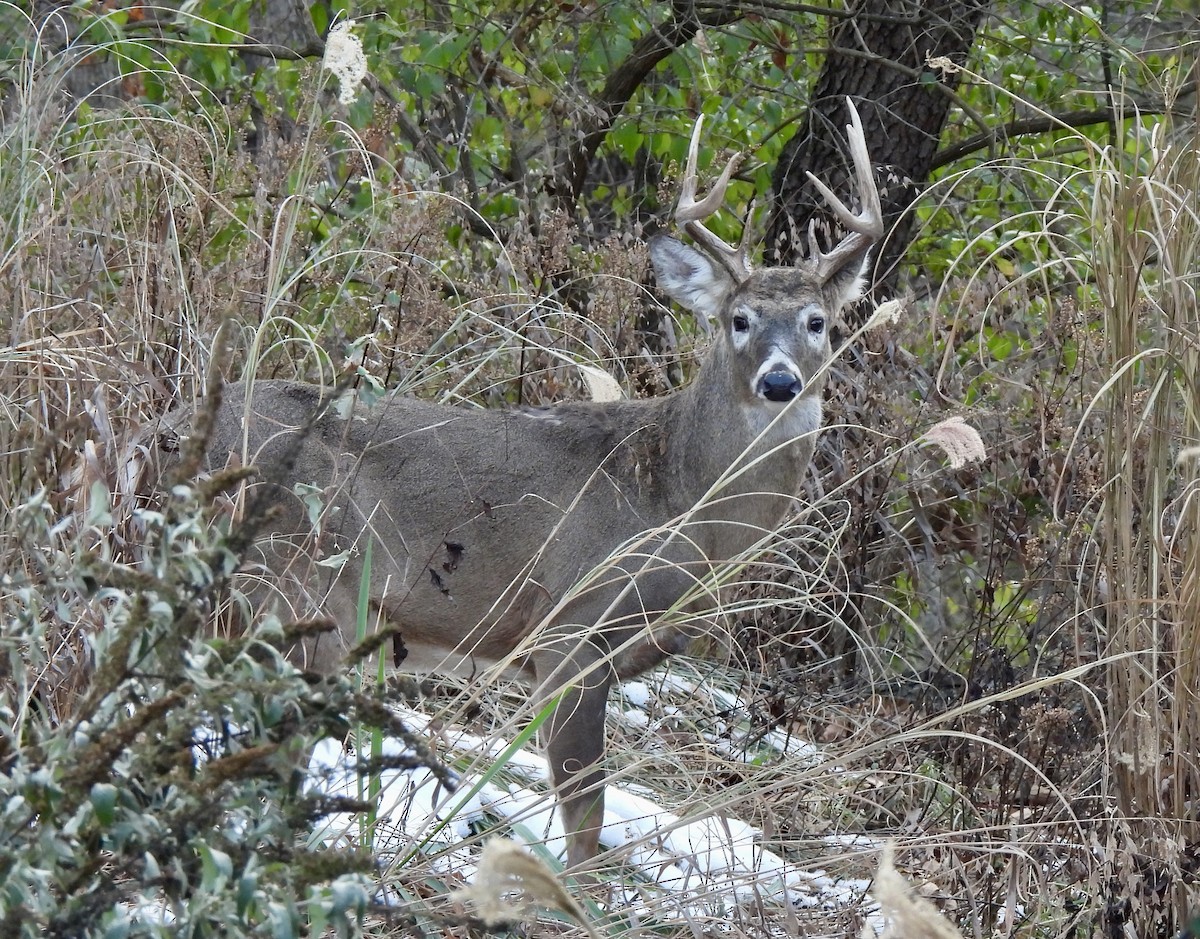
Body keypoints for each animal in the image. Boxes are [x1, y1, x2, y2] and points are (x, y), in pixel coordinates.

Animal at [171, 99, 883, 870]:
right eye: (740, 319)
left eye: (818, 321)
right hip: (293, 590)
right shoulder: (570, 624)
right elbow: (584, 817)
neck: (677, 499)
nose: (779, 381)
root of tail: (162, 435)